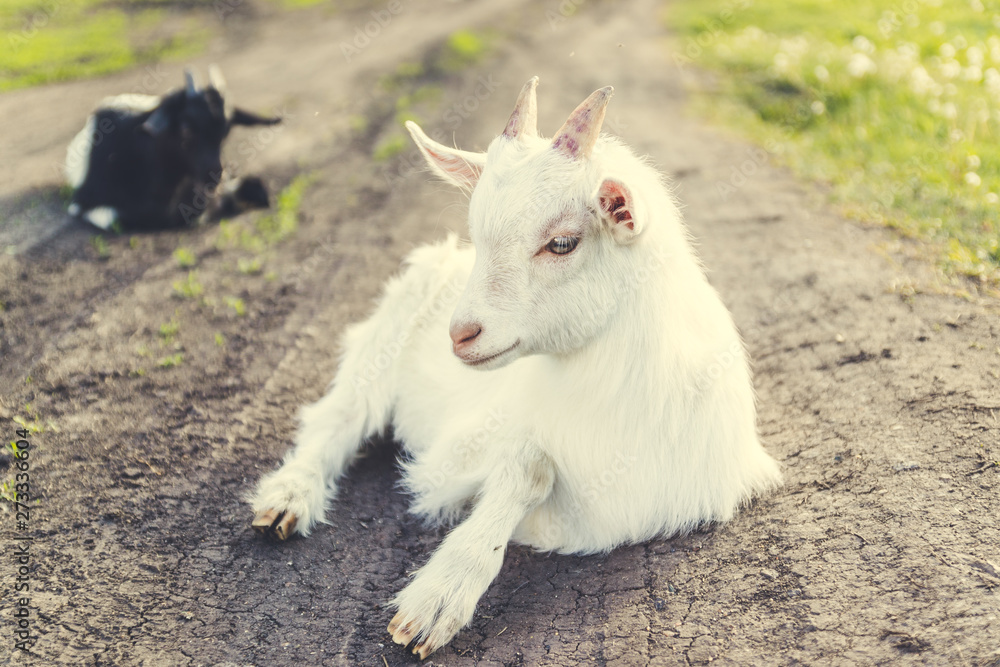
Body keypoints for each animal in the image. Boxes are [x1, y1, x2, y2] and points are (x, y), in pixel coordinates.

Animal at [249, 78, 782, 659]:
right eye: (478, 233)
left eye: (562, 242)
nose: (460, 333)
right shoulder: (456, 453)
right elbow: (531, 467)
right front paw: (440, 598)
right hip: (382, 340)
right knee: (337, 418)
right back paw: (288, 498)